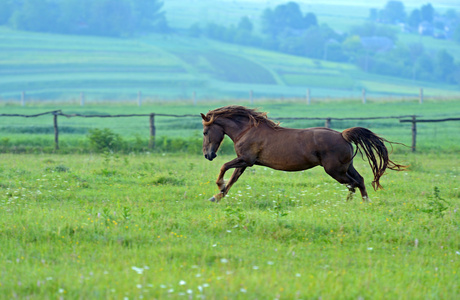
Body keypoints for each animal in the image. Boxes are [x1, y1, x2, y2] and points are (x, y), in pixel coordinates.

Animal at [199, 104, 404, 203]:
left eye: (205, 132)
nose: (208, 155)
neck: (247, 130)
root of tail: (343, 135)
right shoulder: (245, 163)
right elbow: (232, 179)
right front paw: (217, 197)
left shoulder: (245, 160)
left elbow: (224, 167)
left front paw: (218, 188)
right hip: (346, 167)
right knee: (359, 181)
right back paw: (364, 202)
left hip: (335, 170)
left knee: (351, 183)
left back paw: (349, 203)